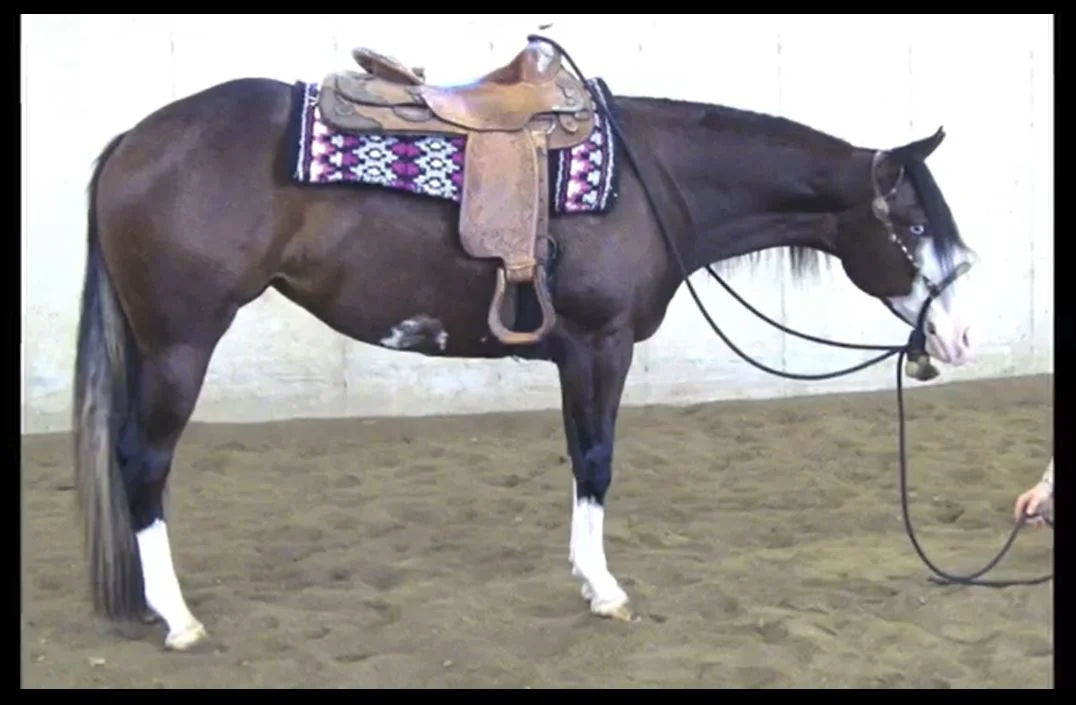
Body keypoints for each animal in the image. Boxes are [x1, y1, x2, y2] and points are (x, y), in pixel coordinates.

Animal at [71, 38, 977, 651]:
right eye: (915, 225)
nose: (961, 334)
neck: (653, 180)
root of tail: (131, 142)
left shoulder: (581, 352)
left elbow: (581, 458)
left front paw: (587, 577)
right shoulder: (600, 346)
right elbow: (596, 459)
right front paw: (605, 588)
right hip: (181, 342)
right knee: (144, 461)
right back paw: (179, 618)